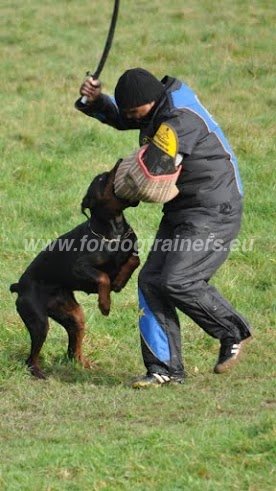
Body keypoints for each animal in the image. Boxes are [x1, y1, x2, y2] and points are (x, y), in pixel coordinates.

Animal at [10, 167, 140, 378]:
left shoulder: (132, 251)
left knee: (73, 351)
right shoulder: (80, 268)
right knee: (30, 358)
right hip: (38, 322)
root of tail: (18, 286)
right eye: (102, 179)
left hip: (74, 317)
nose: (119, 163)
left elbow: (134, 261)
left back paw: (85, 365)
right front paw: (105, 304)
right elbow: (103, 277)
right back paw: (38, 372)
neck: (114, 231)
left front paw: (120, 282)